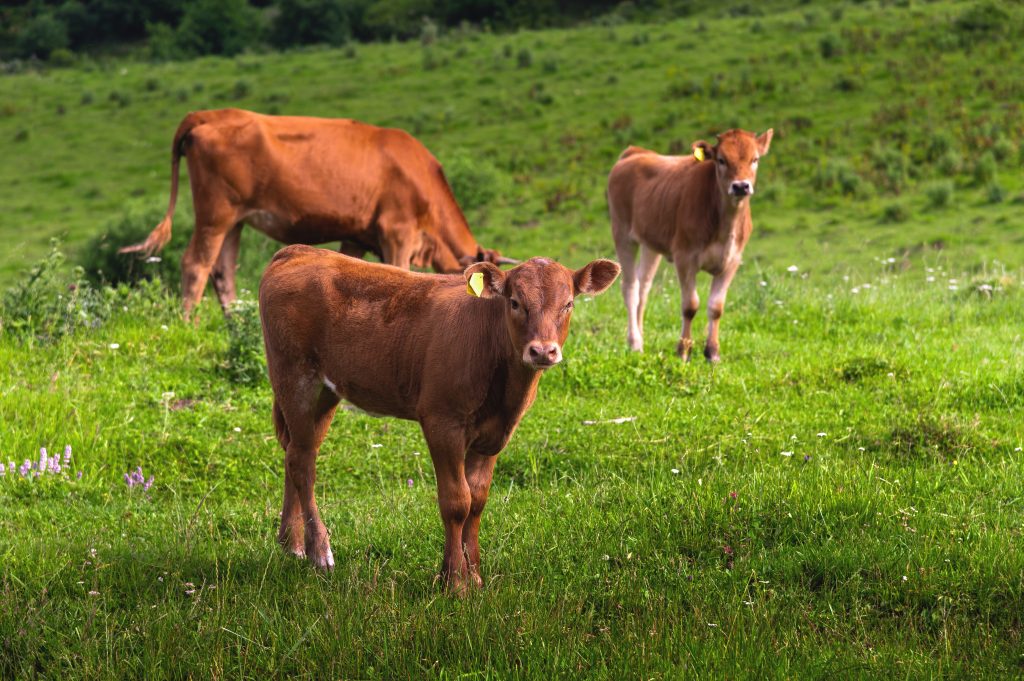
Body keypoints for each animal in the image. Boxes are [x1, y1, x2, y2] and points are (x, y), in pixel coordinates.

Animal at [260, 246, 618, 593]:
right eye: (515, 302)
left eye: (568, 303)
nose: (543, 351)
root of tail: (297, 251)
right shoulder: (442, 421)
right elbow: (456, 500)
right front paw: (455, 582)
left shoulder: (494, 434)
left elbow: (477, 499)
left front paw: (472, 576)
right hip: (296, 377)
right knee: (302, 462)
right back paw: (319, 550)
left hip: (326, 391)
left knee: (296, 451)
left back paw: (291, 543)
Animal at [606, 127, 770, 360]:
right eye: (721, 160)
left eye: (755, 159)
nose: (740, 186)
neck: (724, 224)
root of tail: (635, 152)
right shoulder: (685, 257)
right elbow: (690, 306)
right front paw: (683, 350)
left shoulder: (732, 261)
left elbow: (716, 307)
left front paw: (712, 353)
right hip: (622, 232)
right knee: (630, 287)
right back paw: (635, 342)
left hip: (650, 243)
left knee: (643, 287)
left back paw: (641, 337)